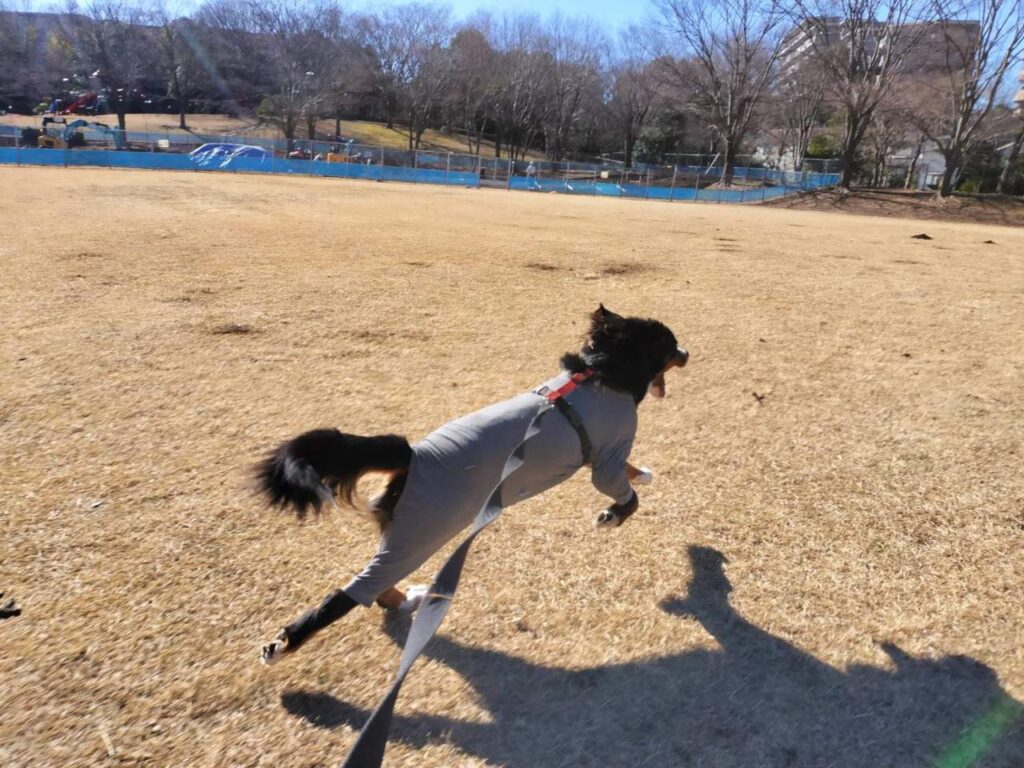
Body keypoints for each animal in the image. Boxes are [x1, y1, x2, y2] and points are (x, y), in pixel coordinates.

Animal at [255, 305, 688, 664]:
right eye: (671, 343)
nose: (688, 352)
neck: (603, 372)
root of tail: (411, 456)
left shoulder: (607, 454)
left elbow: (630, 472)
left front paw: (643, 473)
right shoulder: (607, 458)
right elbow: (626, 496)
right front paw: (612, 515)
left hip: (403, 534)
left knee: (376, 588)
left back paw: (404, 599)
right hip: (422, 533)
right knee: (347, 594)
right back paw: (283, 646)